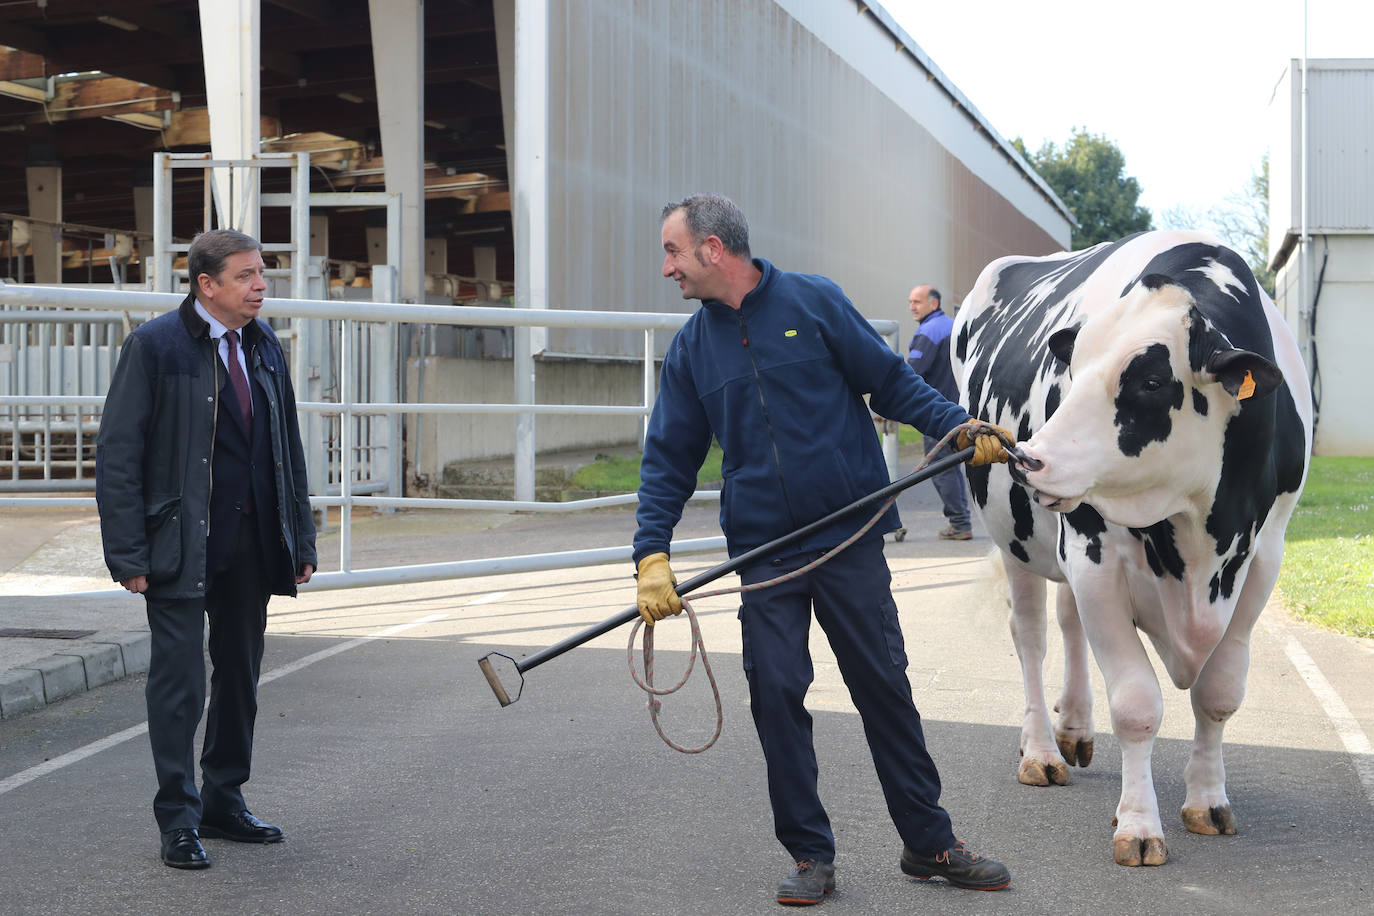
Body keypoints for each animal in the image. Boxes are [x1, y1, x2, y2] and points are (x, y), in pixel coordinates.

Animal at [950, 229, 1313, 867]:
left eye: (1150, 381)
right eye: (1072, 367)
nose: (1027, 459)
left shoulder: (1263, 558)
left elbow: (1219, 694)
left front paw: (1208, 801)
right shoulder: (1095, 556)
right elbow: (1138, 706)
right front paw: (1139, 827)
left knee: (1068, 621)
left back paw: (1074, 728)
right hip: (1011, 535)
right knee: (1031, 636)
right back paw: (1041, 752)